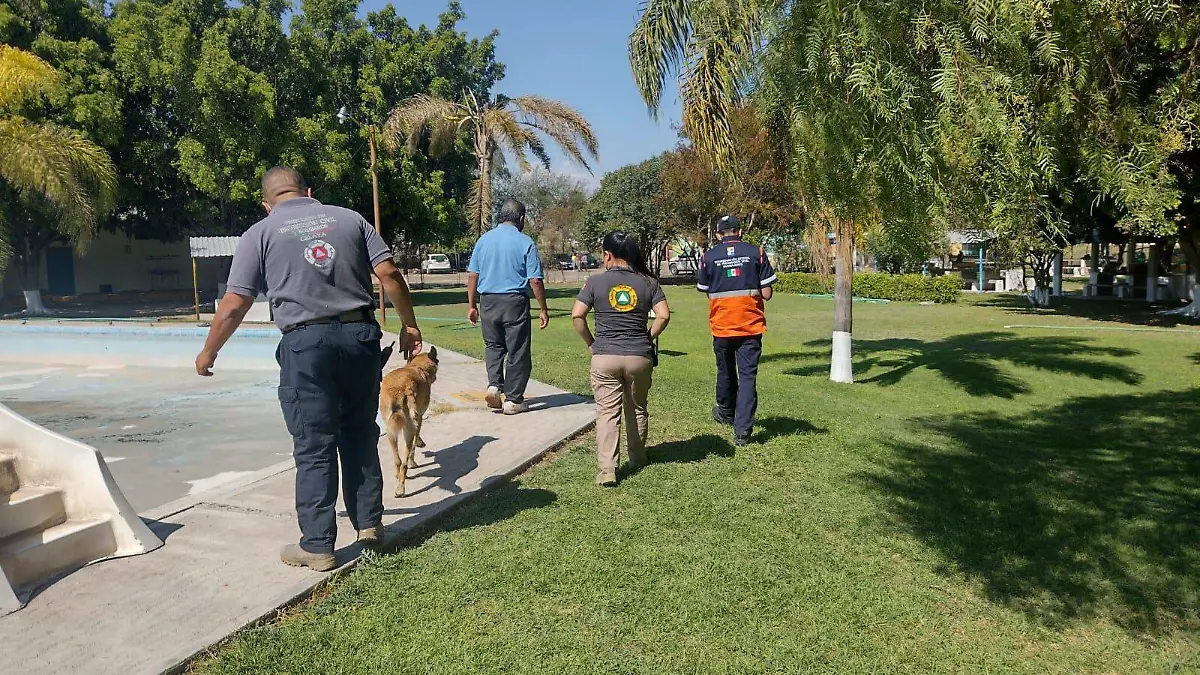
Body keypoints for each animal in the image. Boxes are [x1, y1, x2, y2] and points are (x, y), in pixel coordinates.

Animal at [376, 345, 439, 494]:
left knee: (398, 461)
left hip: (390, 430)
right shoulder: (419, 417)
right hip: (407, 430)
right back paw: (401, 488)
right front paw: (414, 461)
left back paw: (398, 478)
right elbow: (416, 440)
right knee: (404, 462)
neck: (417, 366)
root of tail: (403, 388)